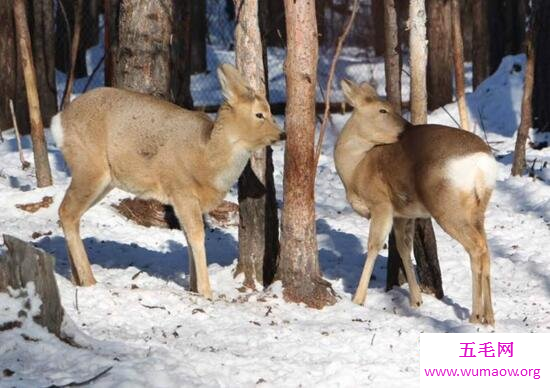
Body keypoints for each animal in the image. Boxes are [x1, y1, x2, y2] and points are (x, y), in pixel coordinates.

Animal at [51, 65, 286, 298]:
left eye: (270, 110)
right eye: (259, 114)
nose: (282, 134)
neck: (207, 160)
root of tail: (58, 122)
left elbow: (188, 236)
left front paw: (193, 287)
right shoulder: (181, 189)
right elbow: (197, 235)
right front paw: (206, 292)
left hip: (104, 180)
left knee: (71, 215)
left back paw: (77, 278)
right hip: (89, 167)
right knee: (66, 211)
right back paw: (89, 280)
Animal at [336, 79, 500, 324]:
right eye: (383, 109)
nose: (406, 128)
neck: (356, 168)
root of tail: (481, 162)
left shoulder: (381, 203)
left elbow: (374, 246)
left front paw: (358, 298)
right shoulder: (403, 213)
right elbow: (404, 248)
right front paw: (416, 301)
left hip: (448, 207)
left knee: (476, 248)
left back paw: (475, 315)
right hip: (478, 208)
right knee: (486, 249)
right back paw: (489, 316)